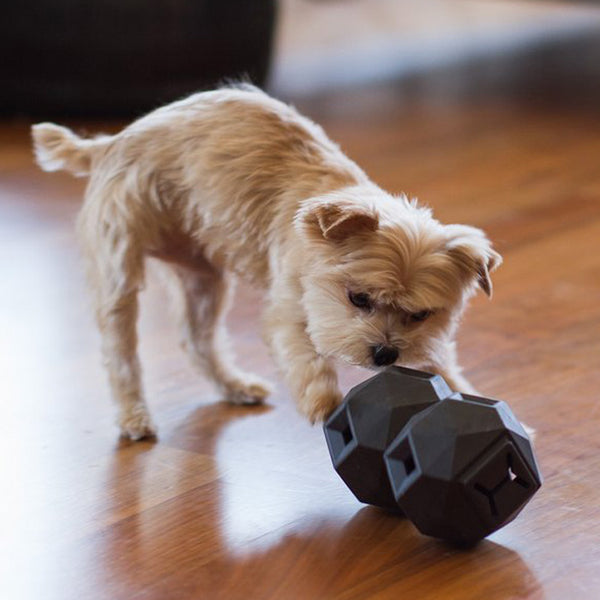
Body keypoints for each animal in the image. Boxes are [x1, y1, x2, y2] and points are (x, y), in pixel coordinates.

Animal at [32, 85, 502, 440]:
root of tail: (111, 142)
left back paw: (234, 385)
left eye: (420, 315)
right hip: (119, 266)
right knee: (121, 351)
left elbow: (440, 366)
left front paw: (464, 394)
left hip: (203, 277)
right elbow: (304, 355)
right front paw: (323, 402)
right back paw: (134, 416)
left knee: (197, 340)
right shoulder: (289, 309)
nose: (385, 353)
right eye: (358, 298)